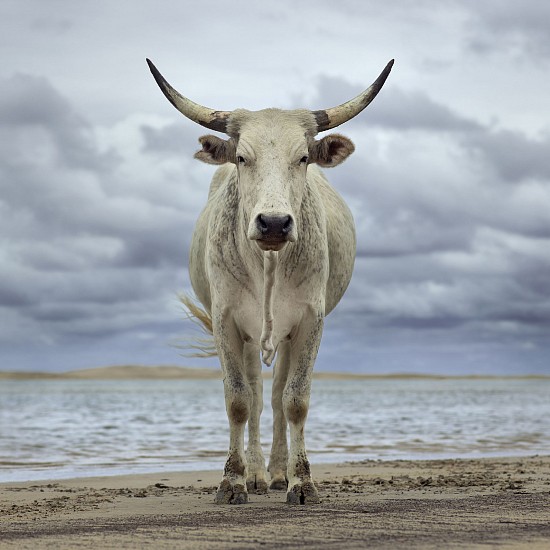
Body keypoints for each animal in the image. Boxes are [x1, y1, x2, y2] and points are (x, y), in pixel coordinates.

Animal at [149, 59, 394, 504]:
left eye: (303, 157)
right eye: (242, 157)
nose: (275, 223)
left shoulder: (310, 321)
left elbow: (295, 400)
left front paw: (302, 482)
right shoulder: (226, 321)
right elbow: (239, 400)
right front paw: (233, 481)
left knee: (278, 397)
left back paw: (278, 473)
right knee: (259, 396)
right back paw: (258, 475)